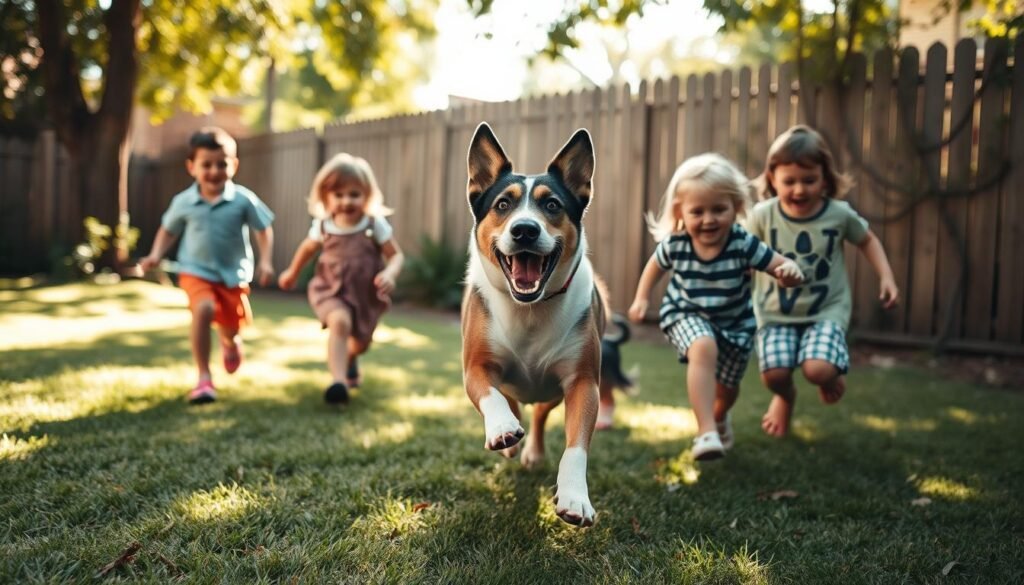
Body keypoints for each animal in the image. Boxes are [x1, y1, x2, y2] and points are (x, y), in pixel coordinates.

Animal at [464, 122, 606, 524]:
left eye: (552, 205)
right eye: (502, 204)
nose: (525, 230)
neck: (528, 308)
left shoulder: (582, 382)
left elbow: (576, 446)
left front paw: (574, 497)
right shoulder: (475, 366)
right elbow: (490, 392)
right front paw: (502, 429)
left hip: (551, 390)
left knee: (541, 413)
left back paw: (533, 452)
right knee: (510, 396)